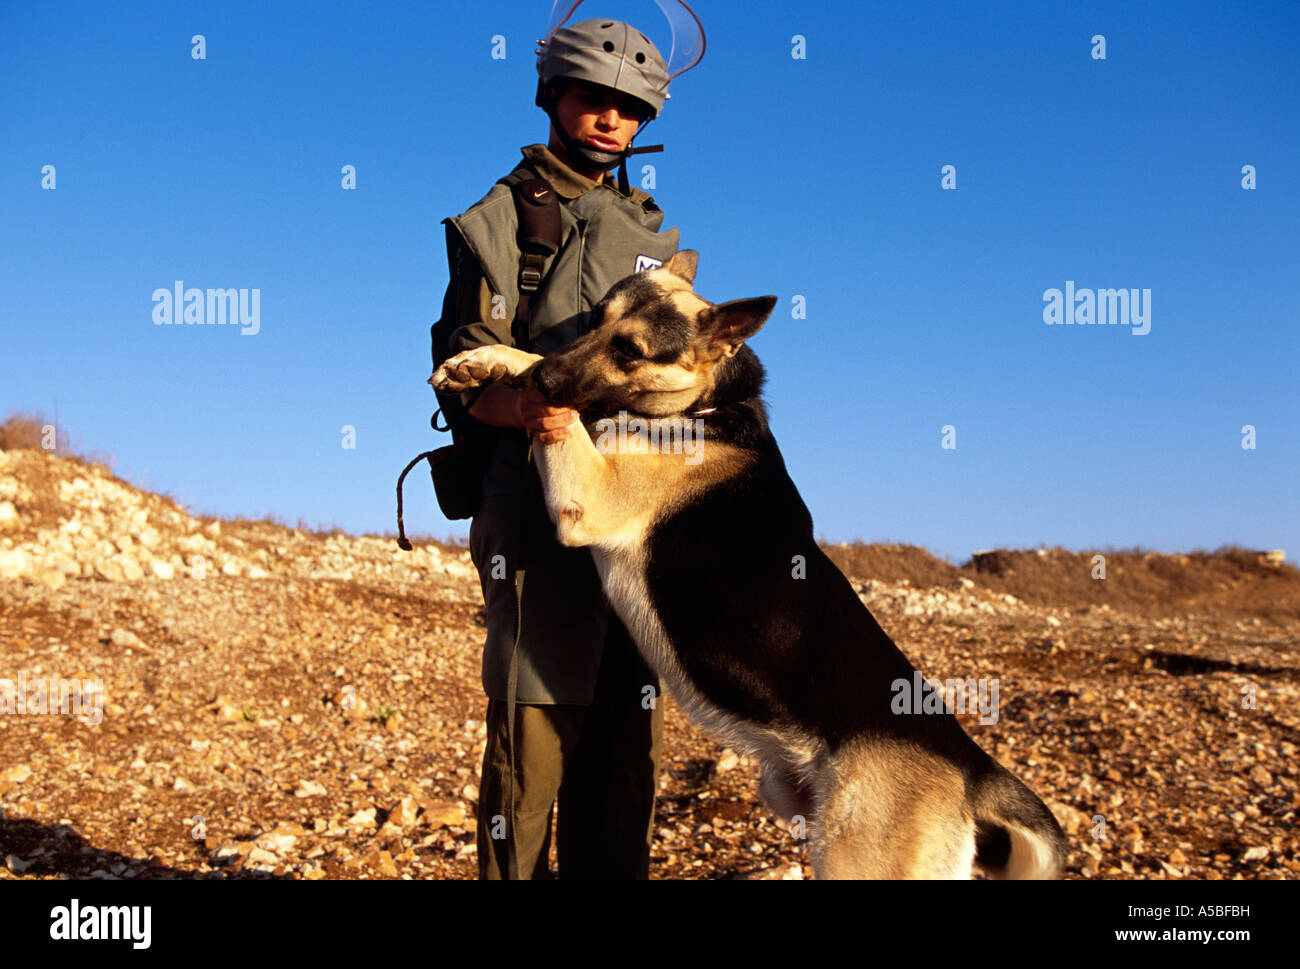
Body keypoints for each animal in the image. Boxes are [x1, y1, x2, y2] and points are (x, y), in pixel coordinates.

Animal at [434, 249, 1066, 879]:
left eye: (630, 350)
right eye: (594, 321)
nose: (544, 382)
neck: (707, 408)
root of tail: (972, 769)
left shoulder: (589, 496)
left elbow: (571, 421)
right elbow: (552, 377)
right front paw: (489, 362)